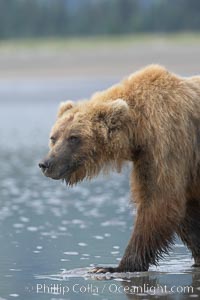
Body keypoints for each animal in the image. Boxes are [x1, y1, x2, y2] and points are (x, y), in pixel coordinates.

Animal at [38, 65, 200, 274]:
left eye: (73, 137)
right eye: (54, 137)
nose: (46, 163)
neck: (139, 130)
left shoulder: (167, 143)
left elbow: (159, 200)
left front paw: (112, 267)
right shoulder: (154, 157)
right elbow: (184, 212)